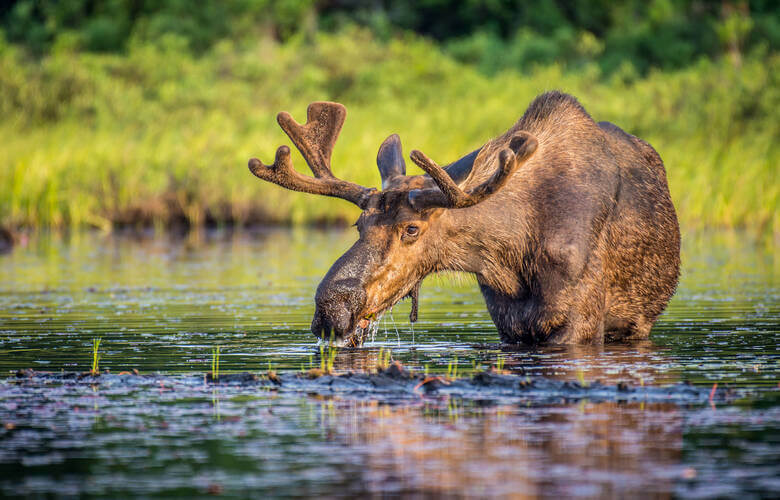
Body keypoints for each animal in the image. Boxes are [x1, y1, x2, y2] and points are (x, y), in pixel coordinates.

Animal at [247, 91, 680, 348]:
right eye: (359, 226)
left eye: (411, 229)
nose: (331, 308)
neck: (512, 254)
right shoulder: (508, 323)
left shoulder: (580, 323)